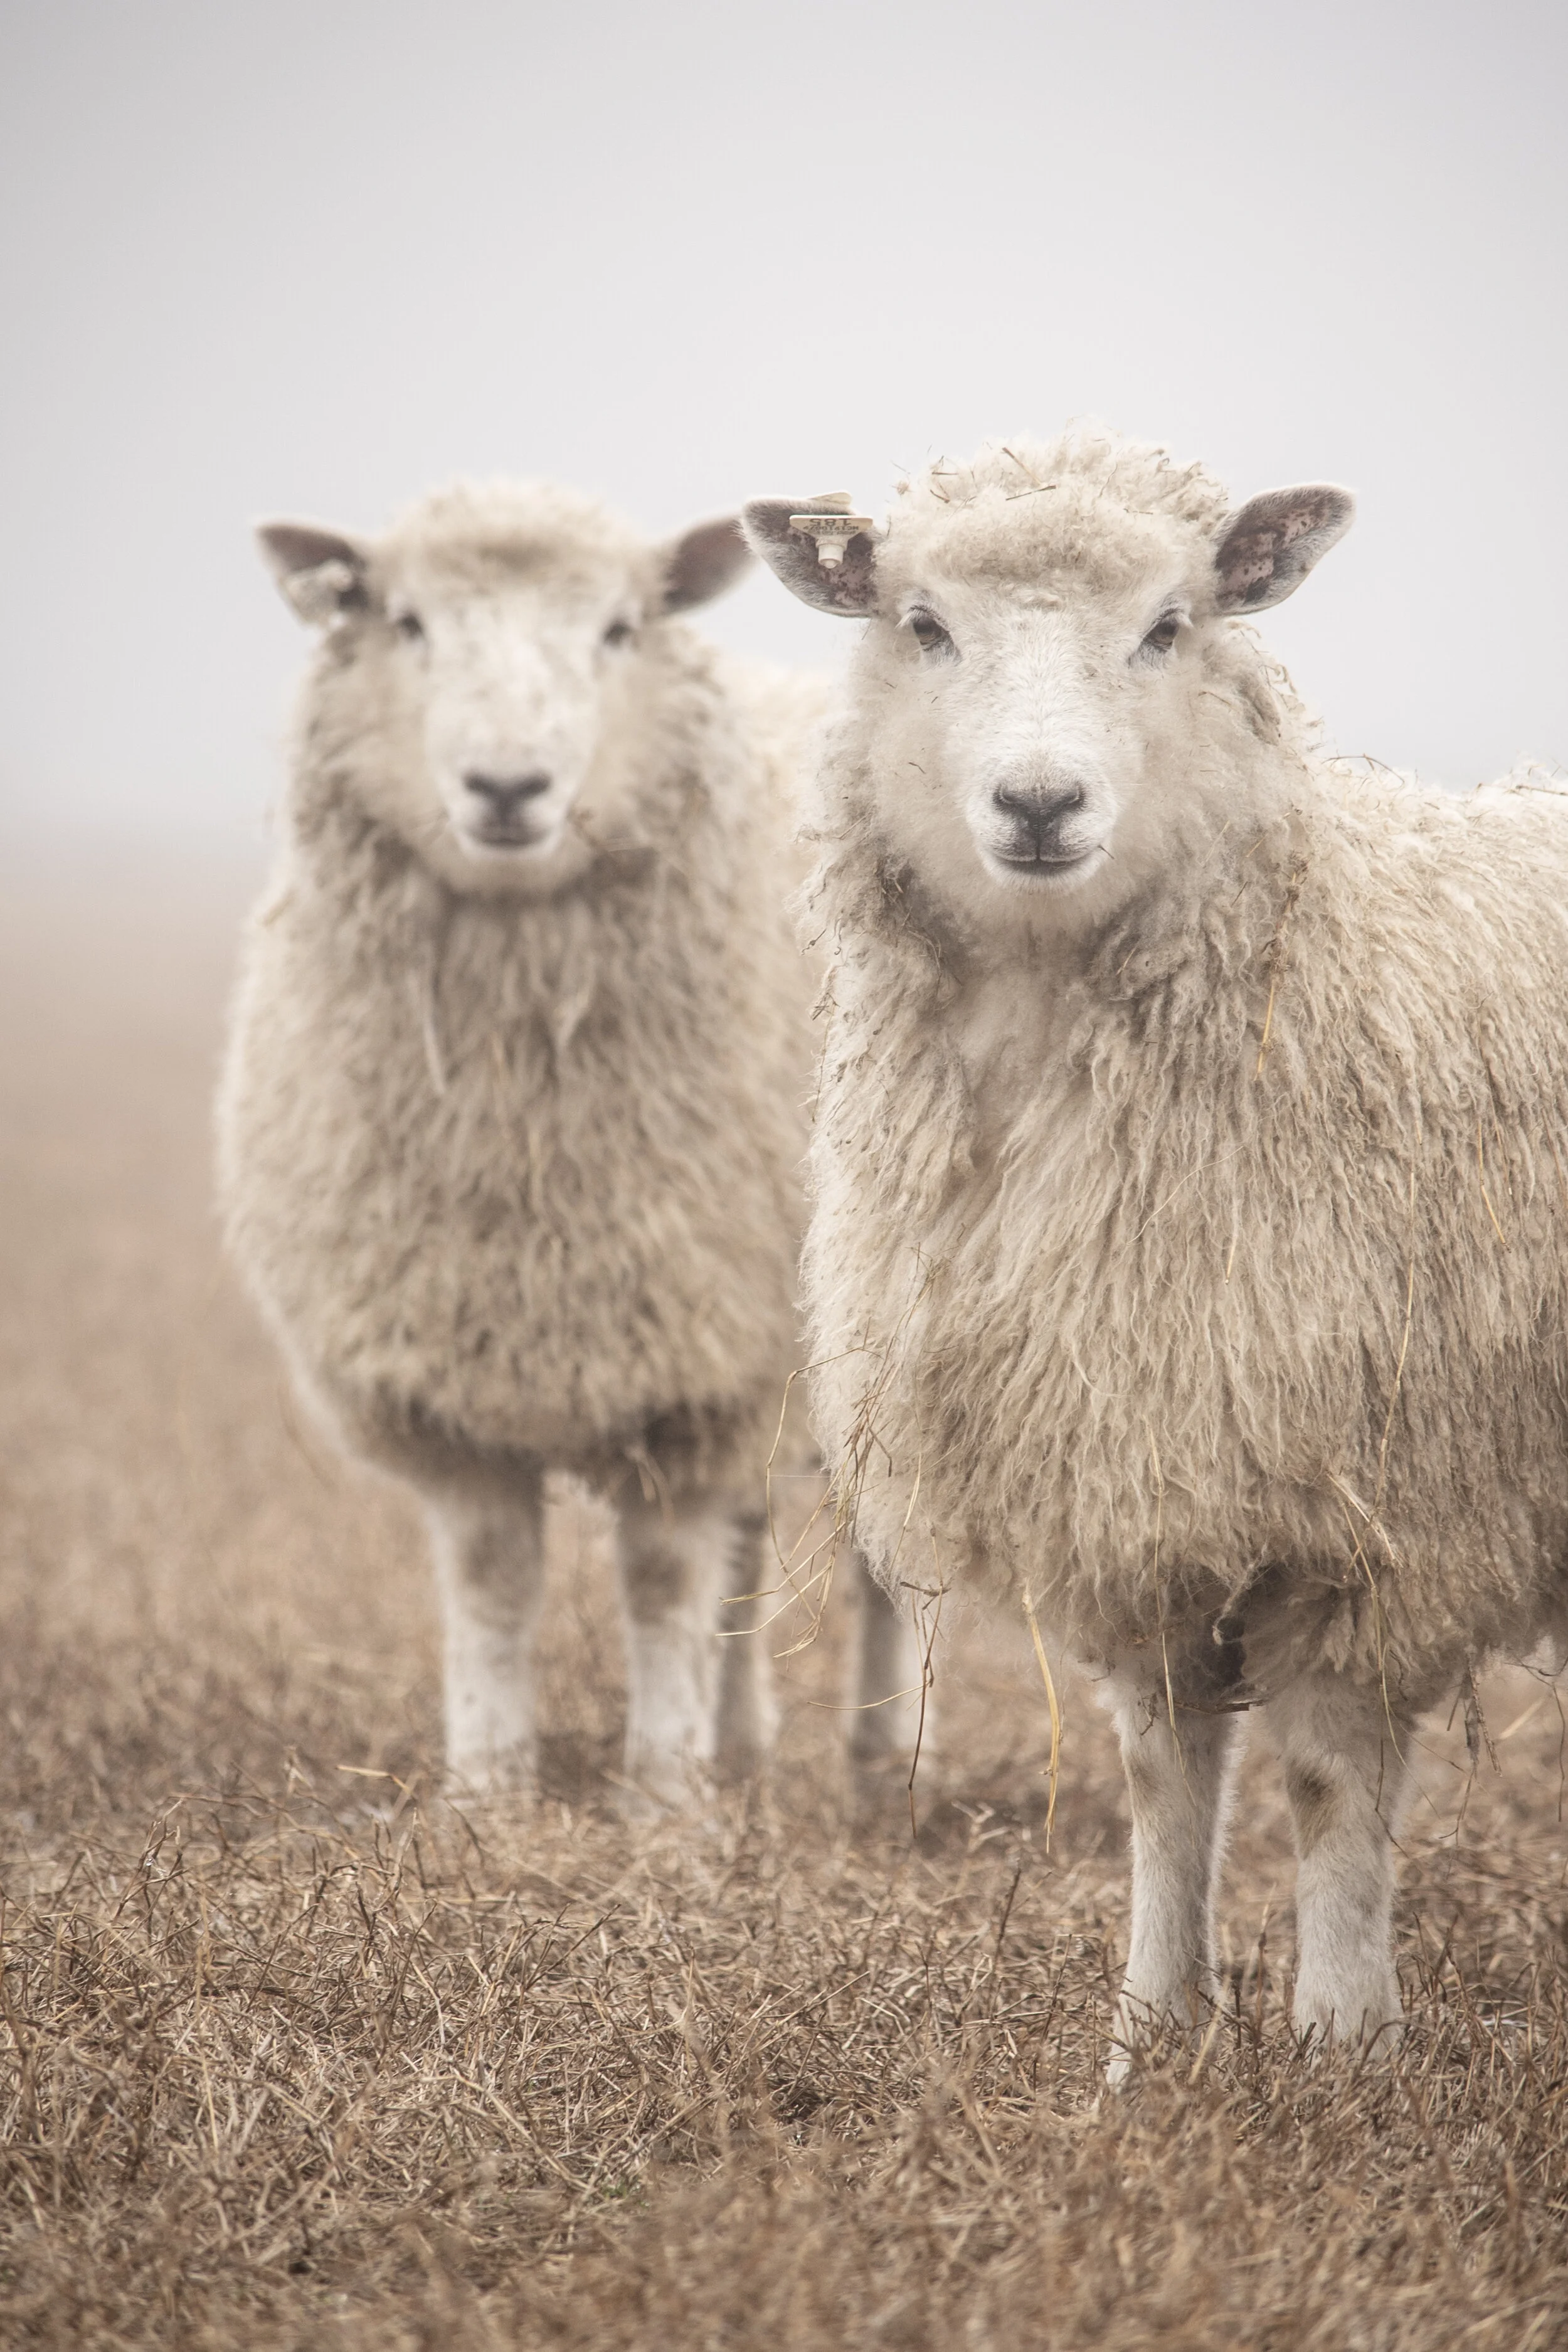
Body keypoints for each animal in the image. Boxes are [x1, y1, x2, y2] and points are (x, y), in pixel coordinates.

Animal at [217, 477, 922, 1807]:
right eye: (406, 623)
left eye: (617, 630)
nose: (507, 787)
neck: (527, 1150)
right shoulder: (459, 1383)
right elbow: (497, 1582)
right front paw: (490, 1786)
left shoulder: (698, 1362)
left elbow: (659, 1578)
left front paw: (659, 1799)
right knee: (752, 1549)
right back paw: (743, 1739)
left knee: (882, 1557)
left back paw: (878, 1761)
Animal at [743, 430, 1568, 2064]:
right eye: (921, 624)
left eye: (1168, 626)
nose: (1039, 801)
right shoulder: (1130, 1468)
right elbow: (1159, 1770)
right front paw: (1150, 2037)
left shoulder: (1382, 1504)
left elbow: (1322, 1777)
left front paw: (1340, 2045)